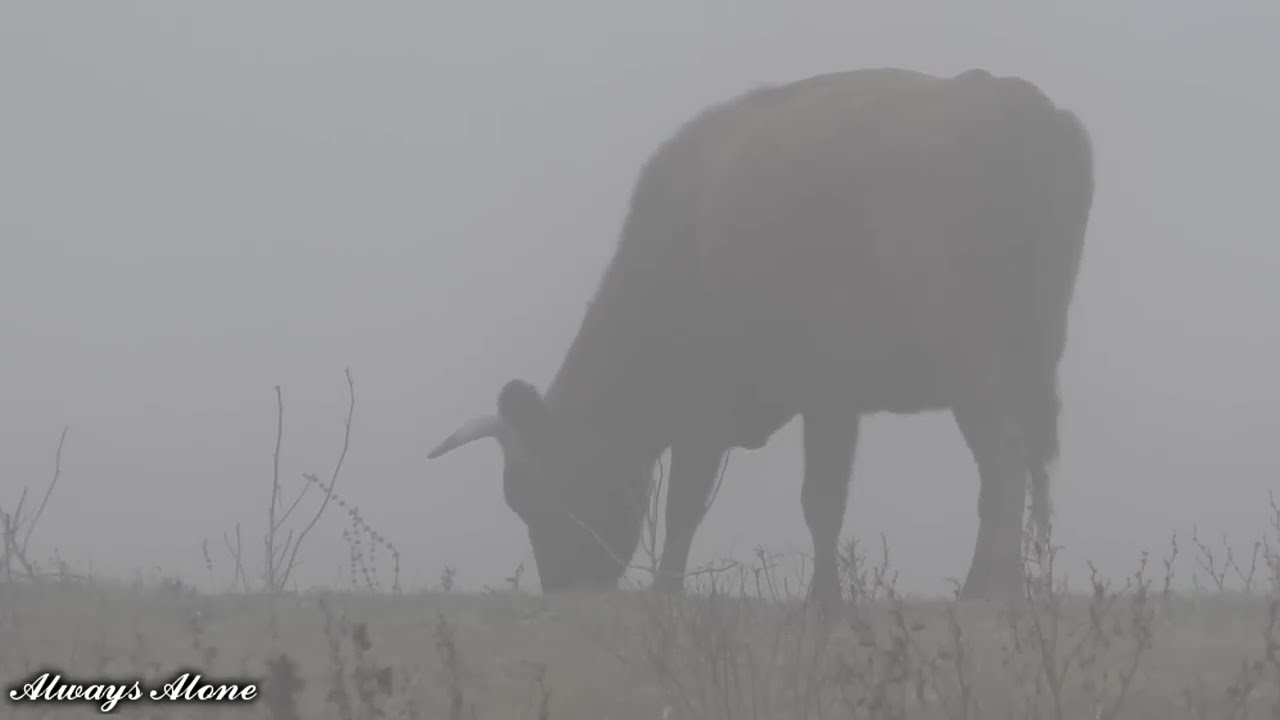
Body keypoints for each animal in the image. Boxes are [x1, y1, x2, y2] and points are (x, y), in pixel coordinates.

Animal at [427, 65, 1090, 604]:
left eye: (537, 493)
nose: (565, 590)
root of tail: (1016, 103)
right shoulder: (826, 402)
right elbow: (818, 503)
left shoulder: (720, 408)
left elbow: (703, 506)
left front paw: (680, 593)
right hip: (1033, 357)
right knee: (1021, 464)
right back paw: (1011, 584)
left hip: (970, 360)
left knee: (1003, 456)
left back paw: (992, 589)